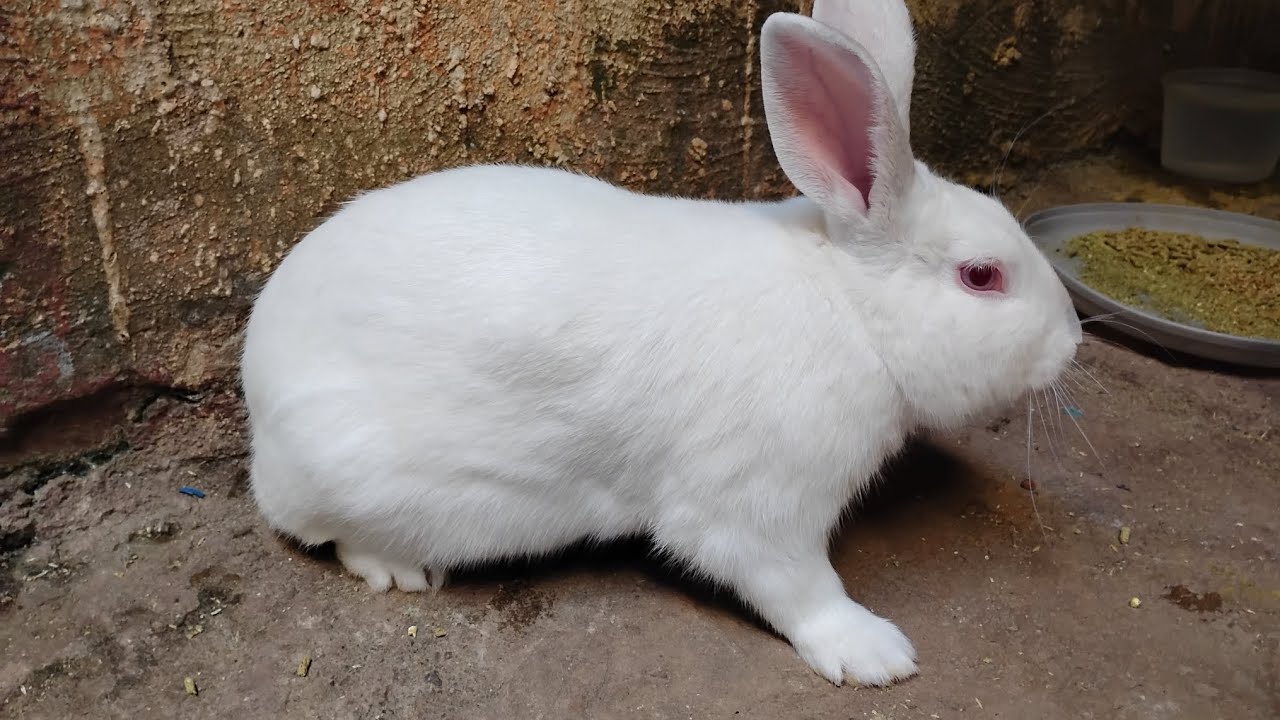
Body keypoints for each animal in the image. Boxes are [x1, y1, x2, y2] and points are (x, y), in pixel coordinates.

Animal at [240, 0, 1082, 687]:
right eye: (981, 276)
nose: (1072, 341)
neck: (850, 307)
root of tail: (258, 397)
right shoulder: (756, 509)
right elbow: (798, 587)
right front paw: (874, 655)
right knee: (328, 534)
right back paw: (402, 570)